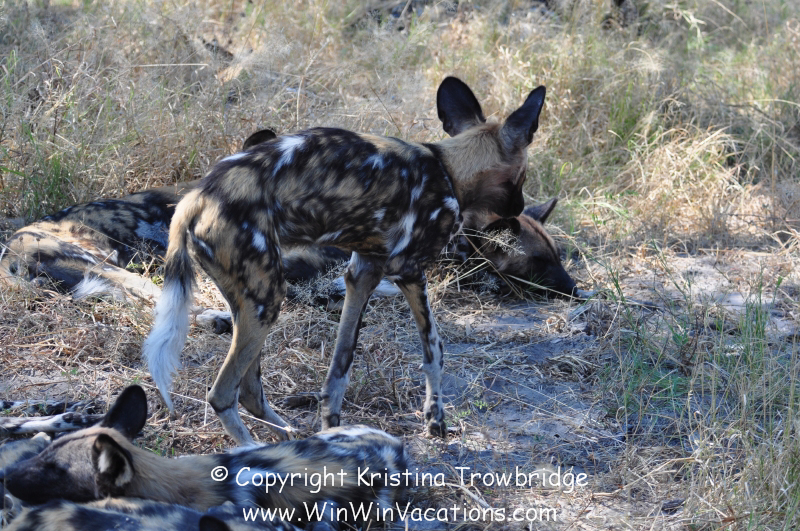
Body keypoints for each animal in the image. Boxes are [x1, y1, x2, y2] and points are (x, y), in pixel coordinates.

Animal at [142, 76, 548, 443]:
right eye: (522, 177)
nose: (519, 207)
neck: (448, 169)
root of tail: (199, 195)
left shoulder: (361, 273)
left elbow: (340, 366)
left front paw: (332, 426)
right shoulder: (409, 272)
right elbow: (434, 349)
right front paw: (436, 419)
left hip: (251, 302)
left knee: (249, 390)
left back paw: (289, 435)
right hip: (266, 300)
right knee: (222, 393)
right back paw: (253, 451)